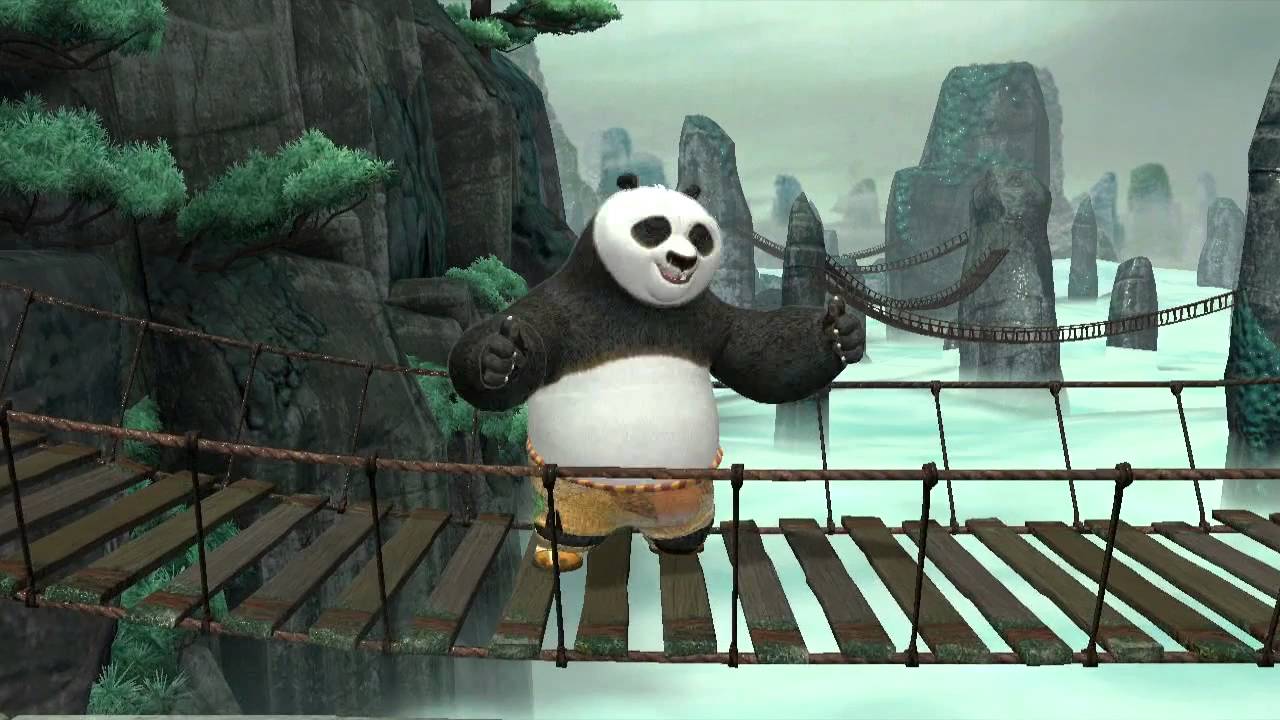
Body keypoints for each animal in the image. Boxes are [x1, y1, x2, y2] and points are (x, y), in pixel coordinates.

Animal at [448, 173, 864, 571]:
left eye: (699, 236)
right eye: (653, 228)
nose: (683, 260)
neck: (642, 305)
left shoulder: (707, 318)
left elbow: (759, 358)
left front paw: (839, 334)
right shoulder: (560, 306)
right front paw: (499, 360)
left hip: (688, 488)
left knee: (687, 517)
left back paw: (681, 544)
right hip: (571, 487)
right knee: (566, 517)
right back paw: (559, 552)